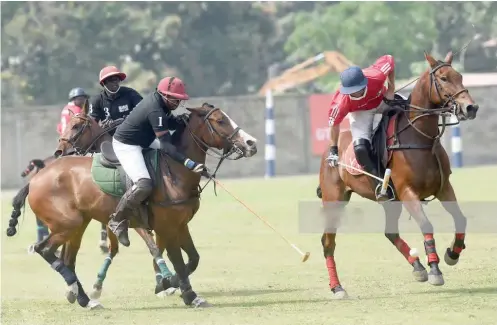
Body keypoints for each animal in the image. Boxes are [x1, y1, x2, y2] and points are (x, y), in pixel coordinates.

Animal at [5, 102, 258, 308]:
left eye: (77, 126)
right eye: (220, 120)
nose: (251, 143)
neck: (174, 169)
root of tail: (35, 180)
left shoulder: (179, 225)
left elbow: (192, 258)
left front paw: (168, 284)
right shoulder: (164, 226)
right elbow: (171, 257)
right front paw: (186, 293)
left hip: (77, 224)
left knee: (67, 258)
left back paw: (84, 298)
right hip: (68, 223)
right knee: (44, 249)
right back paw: (81, 293)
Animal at [318, 51, 476, 298]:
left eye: (459, 76)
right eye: (443, 78)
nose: (470, 107)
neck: (421, 138)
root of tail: (328, 150)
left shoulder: (444, 187)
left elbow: (461, 219)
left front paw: (452, 253)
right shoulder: (408, 192)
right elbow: (426, 225)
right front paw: (435, 269)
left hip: (390, 202)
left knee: (390, 233)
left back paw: (417, 267)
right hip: (334, 200)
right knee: (328, 242)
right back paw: (337, 287)